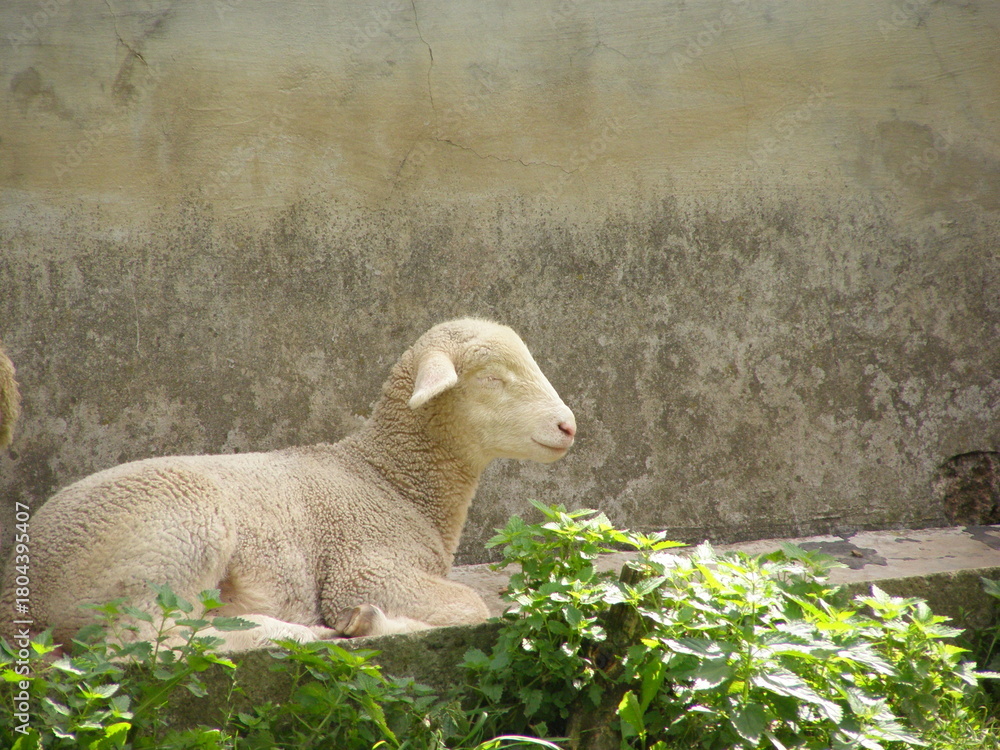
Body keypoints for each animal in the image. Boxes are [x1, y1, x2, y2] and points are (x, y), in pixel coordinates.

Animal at [0, 319, 576, 651]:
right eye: (492, 379)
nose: (568, 426)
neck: (388, 479)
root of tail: (17, 593)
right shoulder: (365, 565)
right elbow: (472, 606)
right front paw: (372, 620)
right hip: (175, 534)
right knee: (142, 639)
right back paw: (317, 630)